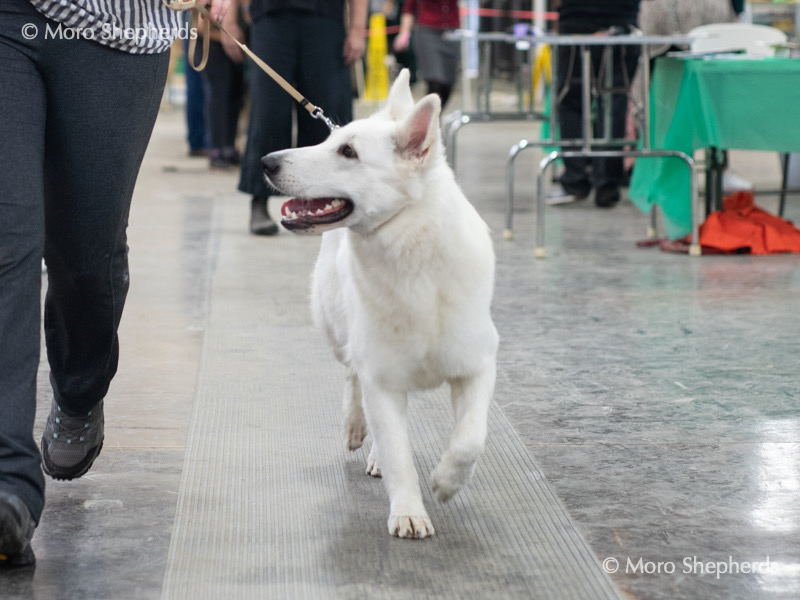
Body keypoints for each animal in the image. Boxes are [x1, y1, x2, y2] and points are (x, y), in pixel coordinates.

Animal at [266, 70, 496, 540]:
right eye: (331, 141)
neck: (416, 260)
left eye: (348, 151)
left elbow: (470, 438)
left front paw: (446, 483)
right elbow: (397, 452)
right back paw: (356, 427)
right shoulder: (382, 379)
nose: (267, 162)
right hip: (339, 334)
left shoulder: (478, 365)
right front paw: (409, 511)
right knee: (352, 377)